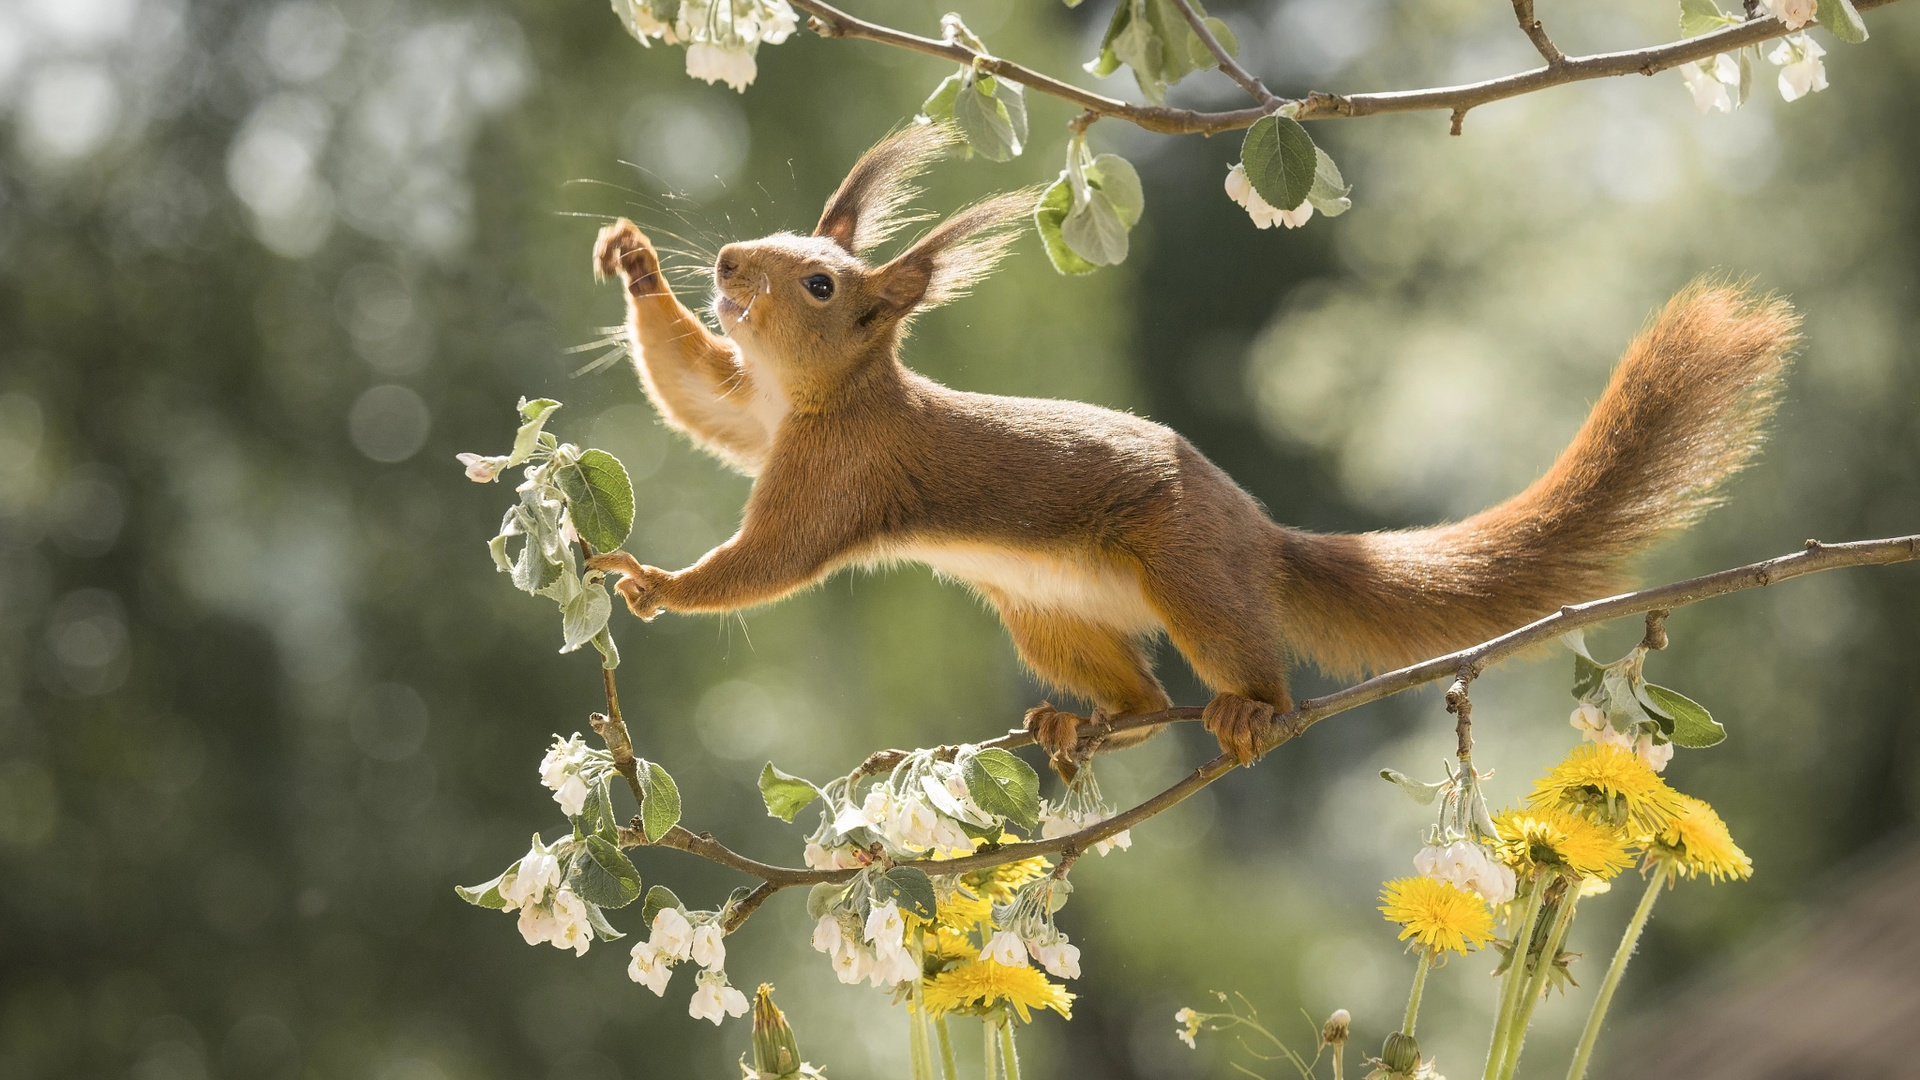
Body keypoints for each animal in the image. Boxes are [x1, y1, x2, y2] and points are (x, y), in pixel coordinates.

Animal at [583, 123, 1797, 764]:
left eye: (821, 282)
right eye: (774, 245)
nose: (726, 264)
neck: (820, 395)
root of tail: (1257, 532)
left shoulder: (836, 475)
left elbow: (767, 563)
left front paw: (655, 583)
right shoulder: (755, 417)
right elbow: (698, 398)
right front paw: (632, 260)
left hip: (1189, 574)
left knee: (1240, 665)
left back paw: (1251, 709)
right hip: (1049, 617)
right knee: (1134, 696)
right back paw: (1086, 725)